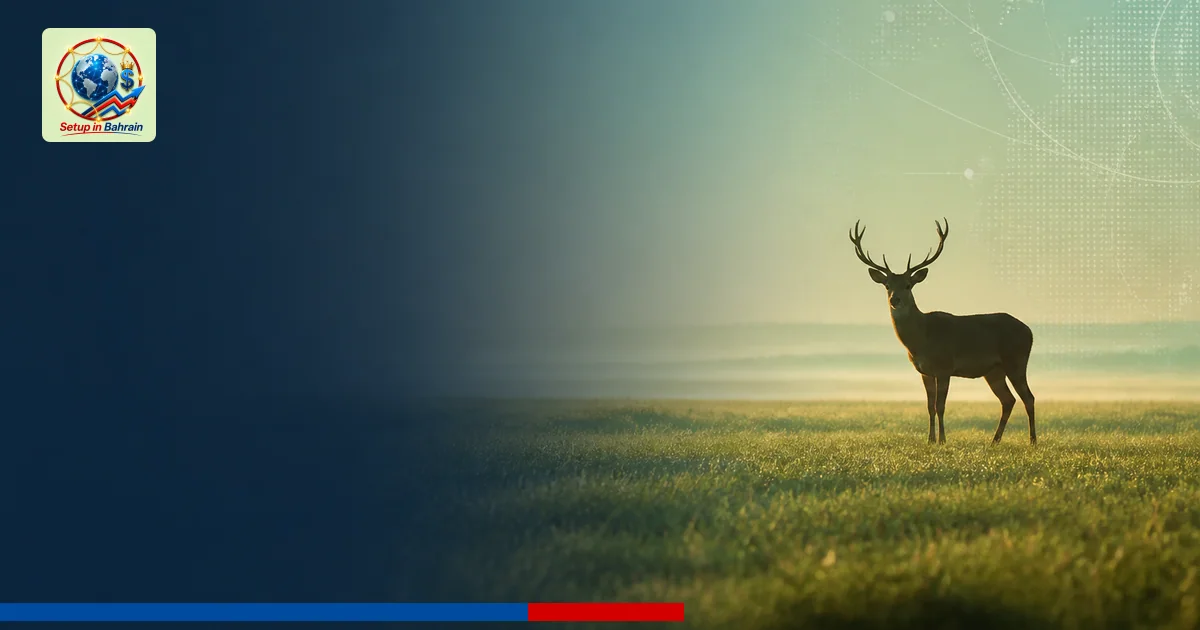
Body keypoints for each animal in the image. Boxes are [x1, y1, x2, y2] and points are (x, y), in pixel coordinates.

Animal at [848, 218, 1036, 445]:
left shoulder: (945, 366)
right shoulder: (924, 372)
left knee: (1028, 397)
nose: (895, 299)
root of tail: (1030, 331)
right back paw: (994, 441)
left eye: (908, 285)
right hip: (994, 371)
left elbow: (941, 406)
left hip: (1016, 361)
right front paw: (930, 440)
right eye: (887, 285)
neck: (921, 340)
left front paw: (943, 440)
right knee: (1008, 400)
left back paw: (1033, 441)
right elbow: (930, 406)